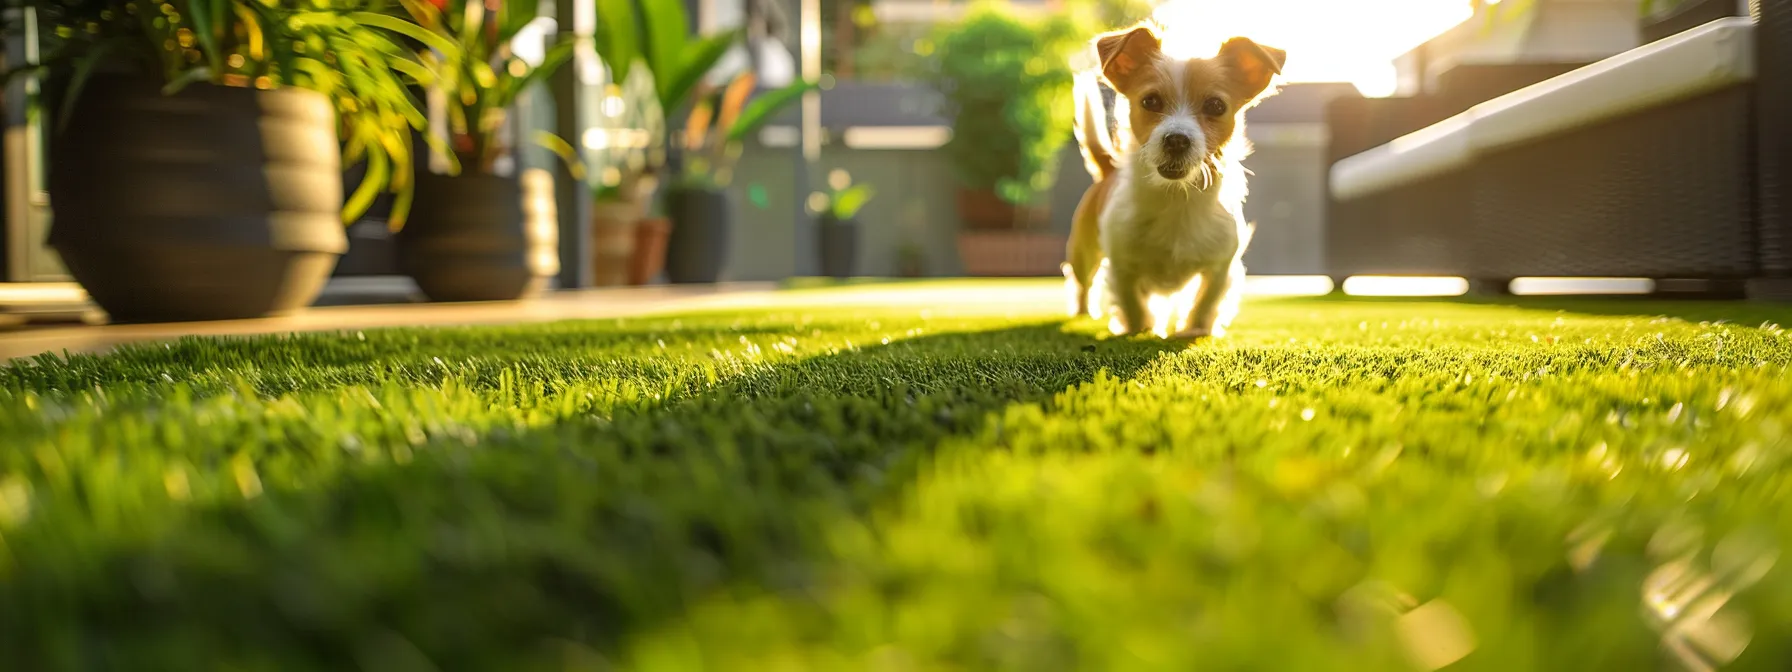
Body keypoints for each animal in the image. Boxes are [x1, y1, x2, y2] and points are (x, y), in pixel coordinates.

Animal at [1060, 24, 1290, 342]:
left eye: (1216, 106)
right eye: (1150, 101)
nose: (1177, 139)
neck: (1176, 200)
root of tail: (1108, 170)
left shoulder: (1221, 265)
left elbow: (1206, 300)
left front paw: (1195, 329)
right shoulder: (1121, 264)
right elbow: (1132, 302)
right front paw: (1139, 329)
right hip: (1083, 254)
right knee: (1081, 282)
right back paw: (1082, 314)